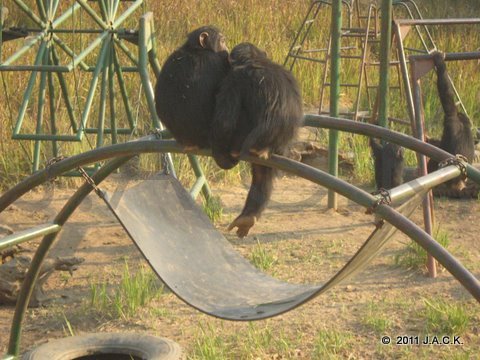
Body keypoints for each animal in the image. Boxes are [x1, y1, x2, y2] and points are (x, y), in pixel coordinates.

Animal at [212, 42, 302, 238]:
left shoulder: (233, 80)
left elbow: (225, 121)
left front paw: (219, 154)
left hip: (243, 139)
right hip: (275, 152)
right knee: (263, 175)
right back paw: (247, 218)